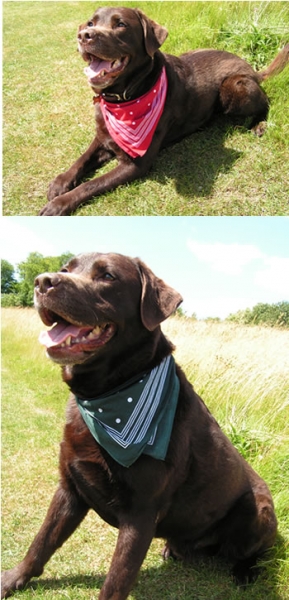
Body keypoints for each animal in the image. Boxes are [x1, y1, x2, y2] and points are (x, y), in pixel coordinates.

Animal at [1, 253, 276, 600]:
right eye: (66, 269)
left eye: (107, 276)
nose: (42, 282)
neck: (108, 394)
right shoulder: (69, 487)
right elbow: (41, 542)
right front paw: (12, 579)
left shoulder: (140, 513)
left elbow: (115, 582)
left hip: (258, 512)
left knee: (256, 552)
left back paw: (245, 572)